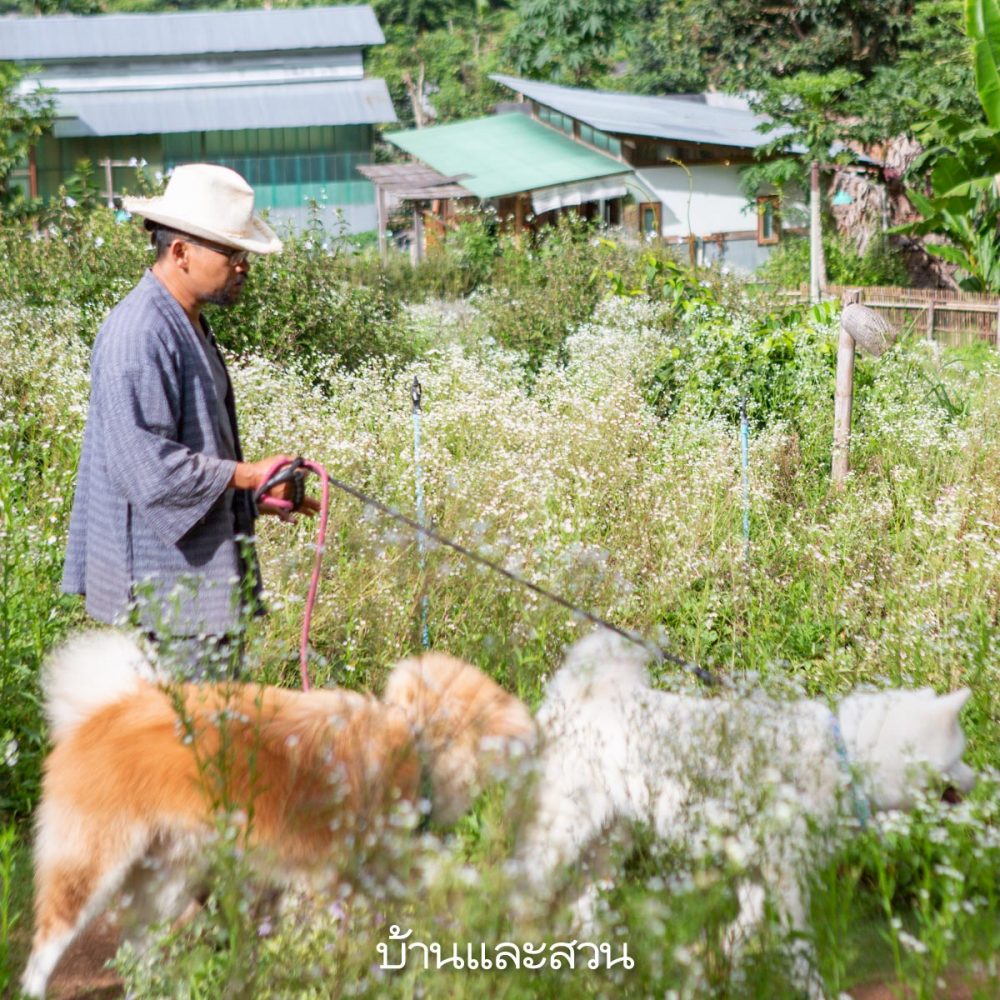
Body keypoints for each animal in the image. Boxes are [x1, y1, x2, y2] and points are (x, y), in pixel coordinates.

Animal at [23, 628, 536, 996]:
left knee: (138, 953)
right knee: (43, 954)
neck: (416, 742)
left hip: (165, 878)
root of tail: (108, 707)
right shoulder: (334, 885)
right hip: (92, 871)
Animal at [516, 632, 976, 992]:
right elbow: (800, 951)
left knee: (579, 908)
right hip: (565, 837)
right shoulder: (786, 879)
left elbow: (739, 933)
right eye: (960, 757)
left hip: (609, 844)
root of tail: (573, 696)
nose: (980, 780)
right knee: (526, 891)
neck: (844, 756)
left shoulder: (756, 874)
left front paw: (705, 966)